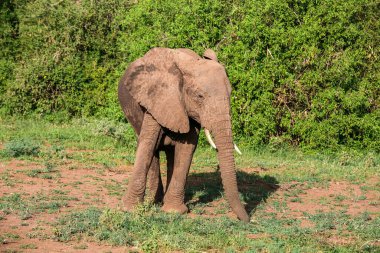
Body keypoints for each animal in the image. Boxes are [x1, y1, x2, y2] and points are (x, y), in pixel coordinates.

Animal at [119, 47, 249, 221]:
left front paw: (173, 212)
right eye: (199, 96)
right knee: (153, 151)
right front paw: (129, 210)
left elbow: (187, 148)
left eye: (230, 94)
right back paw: (154, 201)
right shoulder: (156, 99)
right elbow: (147, 144)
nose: (247, 220)